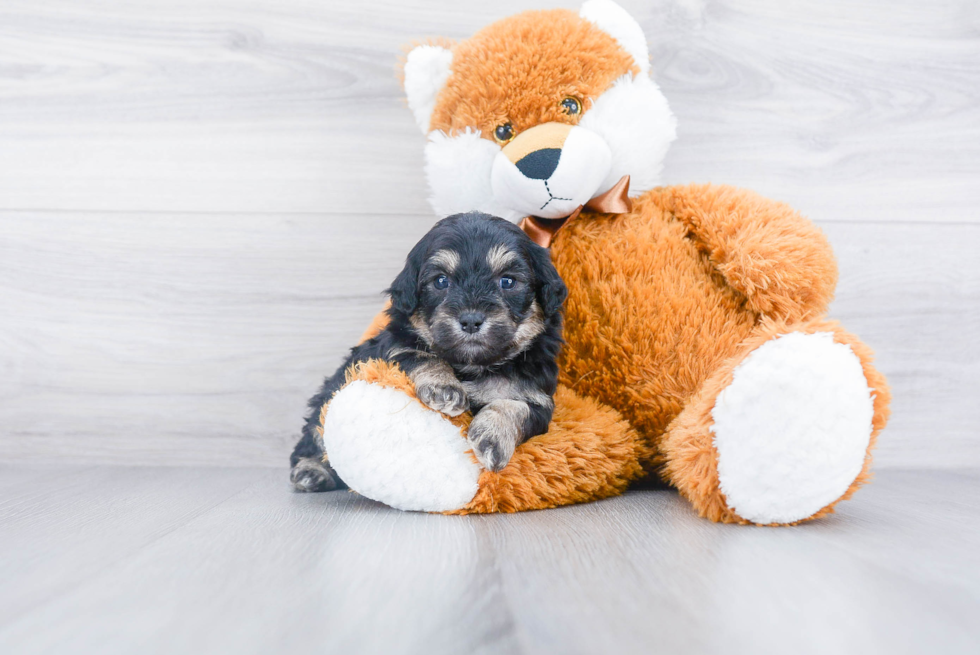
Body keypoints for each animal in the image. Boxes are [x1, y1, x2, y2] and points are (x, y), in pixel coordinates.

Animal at [288, 213, 568, 494]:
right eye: (441, 281)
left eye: (507, 281)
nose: (471, 320)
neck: (473, 366)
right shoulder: (389, 351)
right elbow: (422, 355)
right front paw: (444, 388)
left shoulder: (538, 397)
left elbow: (515, 406)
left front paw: (493, 436)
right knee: (314, 433)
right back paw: (311, 471)